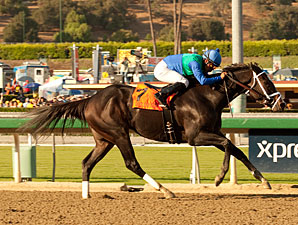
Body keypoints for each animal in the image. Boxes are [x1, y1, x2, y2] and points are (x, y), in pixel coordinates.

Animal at [22, 62, 284, 198]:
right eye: (267, 81)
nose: (281, 104)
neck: (209, 94)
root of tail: (90, 99)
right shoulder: (195, 136)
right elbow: (229, 145)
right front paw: (219, 178)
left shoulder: (211, 132)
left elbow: (236, 149)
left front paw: (263, 180)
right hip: (119, 133)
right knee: (131, 163)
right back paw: (165, 190)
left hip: (104, 139)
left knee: (87, 163)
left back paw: (86, 195)